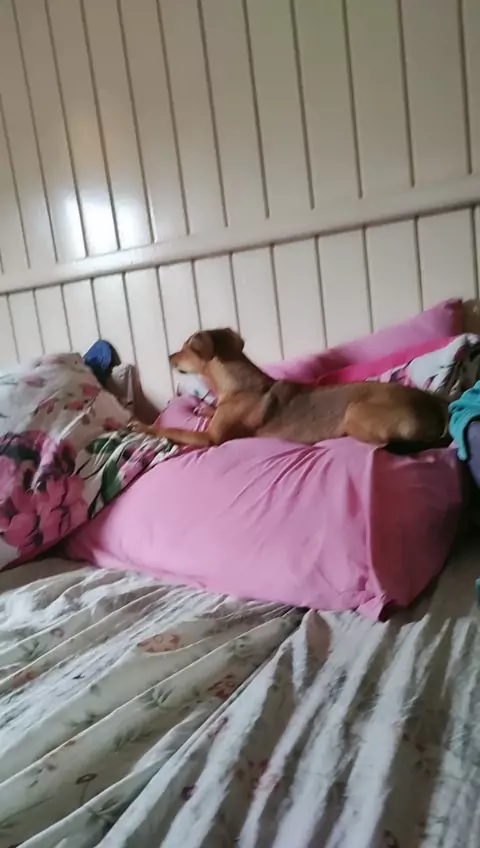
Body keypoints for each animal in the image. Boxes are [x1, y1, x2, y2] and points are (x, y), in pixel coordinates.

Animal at [136, 328, 449, 450]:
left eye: (185, 348)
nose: (168, 357)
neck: (236, 384)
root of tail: (437, 407)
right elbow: (209, 410)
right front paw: (203, 407)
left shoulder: (209, 438)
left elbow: (170, 429)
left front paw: (141, 426)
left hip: (355, 412)